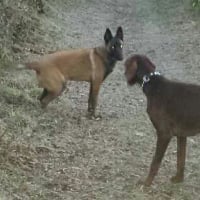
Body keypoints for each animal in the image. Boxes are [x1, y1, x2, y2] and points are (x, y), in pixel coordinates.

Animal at [124, 54, 200, 186]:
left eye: (125, 65)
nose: (123, 74)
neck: (152, 82)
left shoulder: (164, 134)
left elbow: (155, 163)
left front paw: (147, 183)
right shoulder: (181, 136)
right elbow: (180, 159)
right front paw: (178, 179)